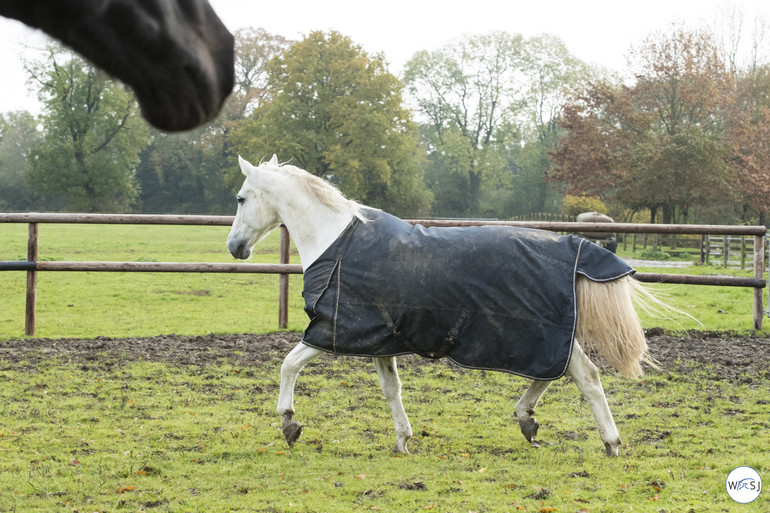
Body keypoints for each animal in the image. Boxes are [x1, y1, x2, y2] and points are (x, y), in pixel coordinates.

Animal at [226, 155, 656, 456]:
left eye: (241, 198)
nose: (234, 247)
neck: (336, 241)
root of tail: (575, 245)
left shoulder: (330, 331)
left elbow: (288, 365)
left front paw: (288, 423)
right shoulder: (380, 340)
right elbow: (391, 389)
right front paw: (402, 440)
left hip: (536, 333)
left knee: (583, 377)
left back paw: (610, 442)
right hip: (544, 336)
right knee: (564, 372)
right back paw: (528, 421)